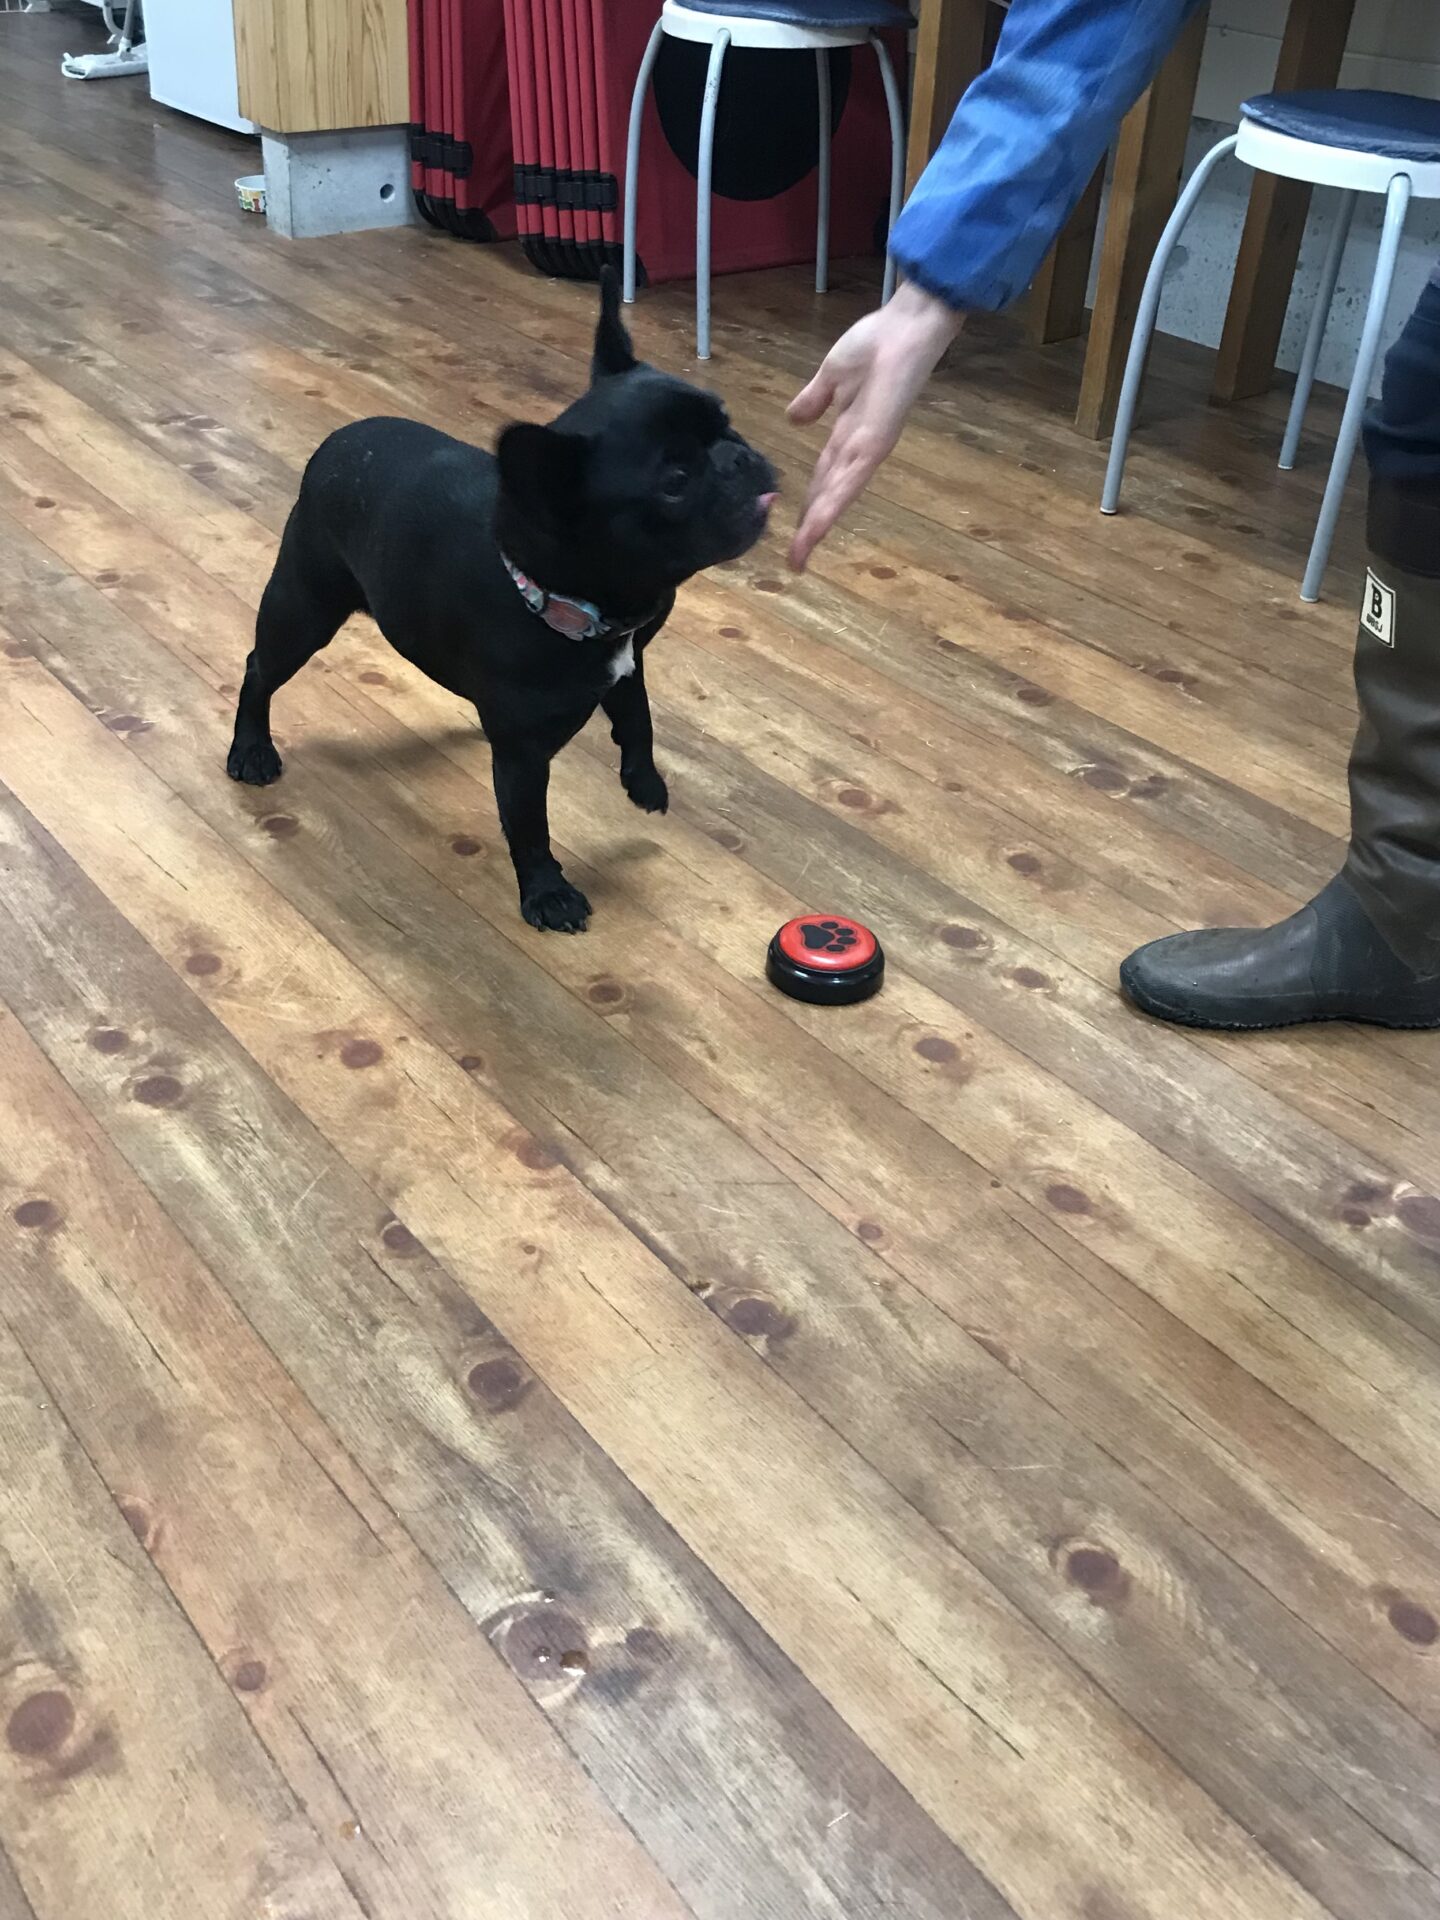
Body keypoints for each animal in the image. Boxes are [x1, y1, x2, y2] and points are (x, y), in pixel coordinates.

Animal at [227, 269, 777, 931]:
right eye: (674, 482)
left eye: (728, 421)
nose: (739, 456)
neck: (559, 593)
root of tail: (336, 442)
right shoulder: (523, 758)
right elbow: (530, 825)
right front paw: (547, 892)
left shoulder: (628, 661)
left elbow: (637, 718)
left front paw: (643, 781)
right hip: (304, 607)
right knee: (260, 669)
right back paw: (251, 750)